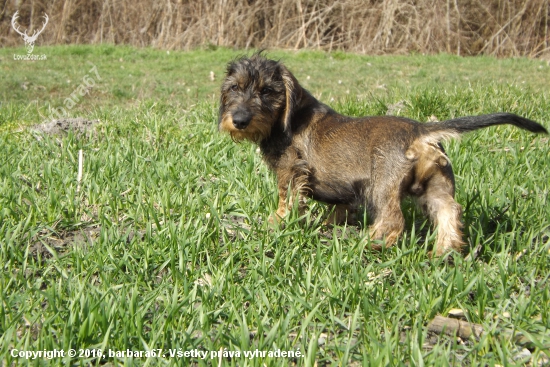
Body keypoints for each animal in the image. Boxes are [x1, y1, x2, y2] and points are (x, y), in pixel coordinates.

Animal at [218, 53, 548, 258]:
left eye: (267, 91)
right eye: (233, 88)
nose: (239, 120)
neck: (288, 118)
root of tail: (420, 130)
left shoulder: (291, 172)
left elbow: (286, 201)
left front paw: (275, 224)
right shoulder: (346, 193)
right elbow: (337, 210)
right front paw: (327, 227)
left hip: (383, 186)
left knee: (393, 221)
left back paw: (367, 243)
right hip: (435, 186)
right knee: (450, 211)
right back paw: (444, 252)